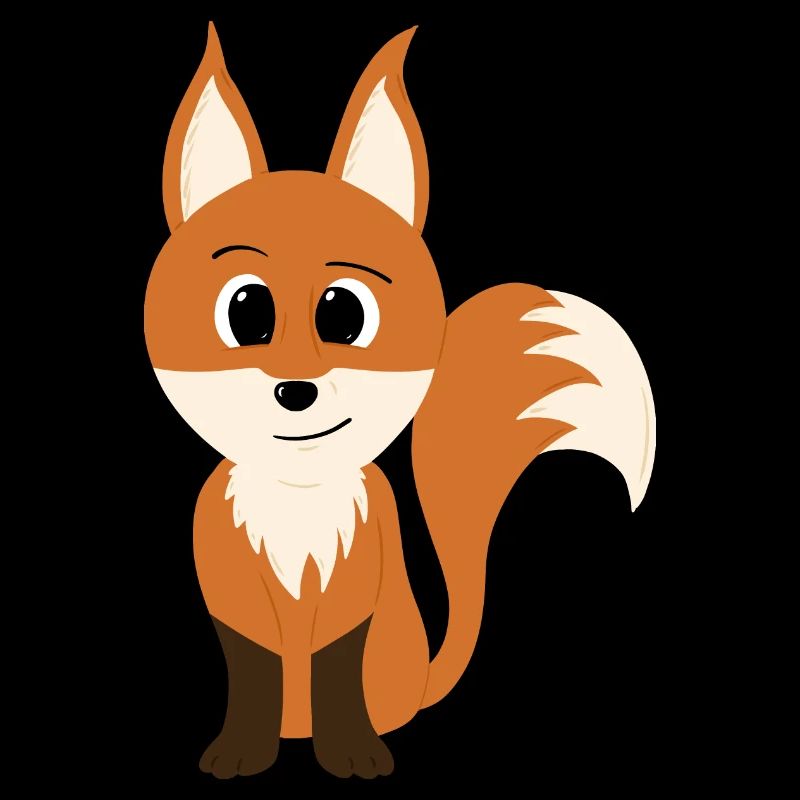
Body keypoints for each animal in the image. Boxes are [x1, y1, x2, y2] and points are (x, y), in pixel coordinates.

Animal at [144, 22, 655, 779]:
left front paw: (351, 752)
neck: (298, 496)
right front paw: (241, 751)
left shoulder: (365, 572)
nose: (294, 391)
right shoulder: (225, 573)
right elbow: (255, 666)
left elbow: (336, 663)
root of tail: (422, 683)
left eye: (344, 313)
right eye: (245, 311)